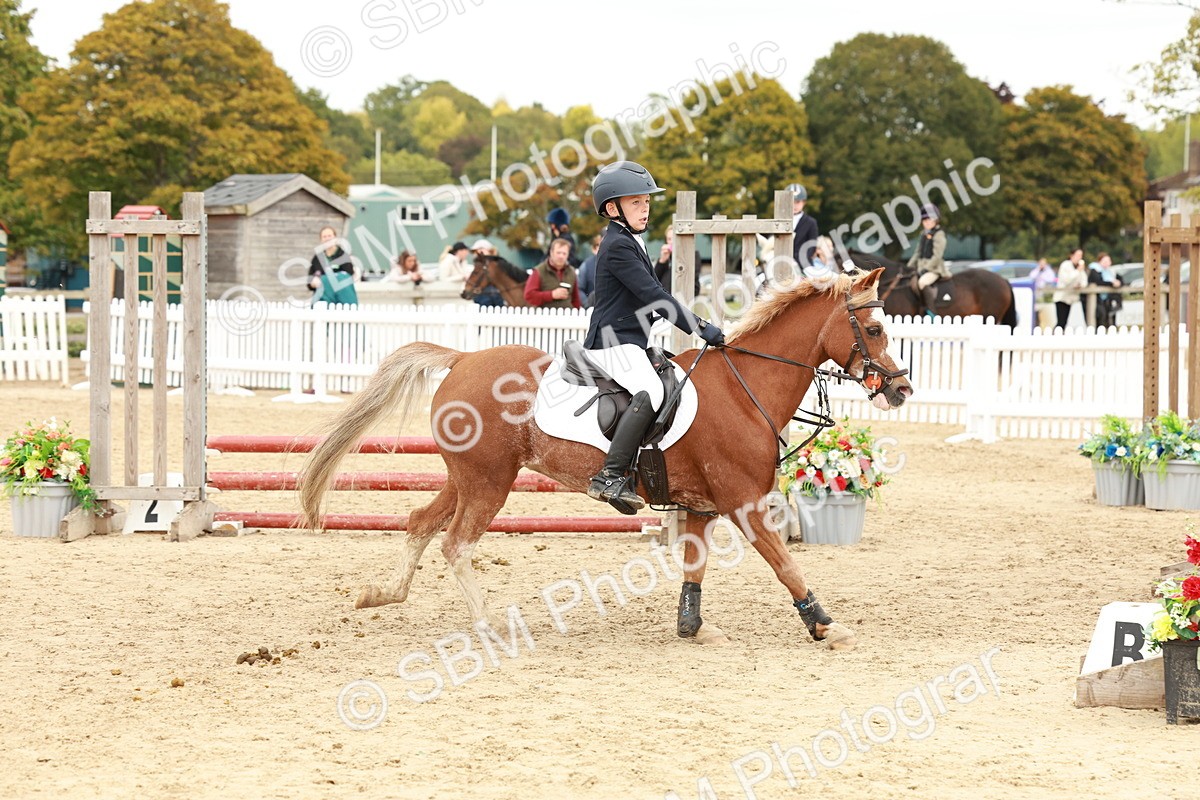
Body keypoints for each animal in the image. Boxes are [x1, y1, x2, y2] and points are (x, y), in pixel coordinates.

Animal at [298, 268, 913, 650]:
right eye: (875, 327)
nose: (902, 389)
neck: (745, 389)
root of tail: (463, 358)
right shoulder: (743, 503)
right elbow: (785, 565)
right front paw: (826, 626)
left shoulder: (702, 506)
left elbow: (694, 567)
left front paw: (693, 628)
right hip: (488, 482)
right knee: (456, 544)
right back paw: (488, 626)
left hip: (469, 476)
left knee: (420, 522)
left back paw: (383, 595)